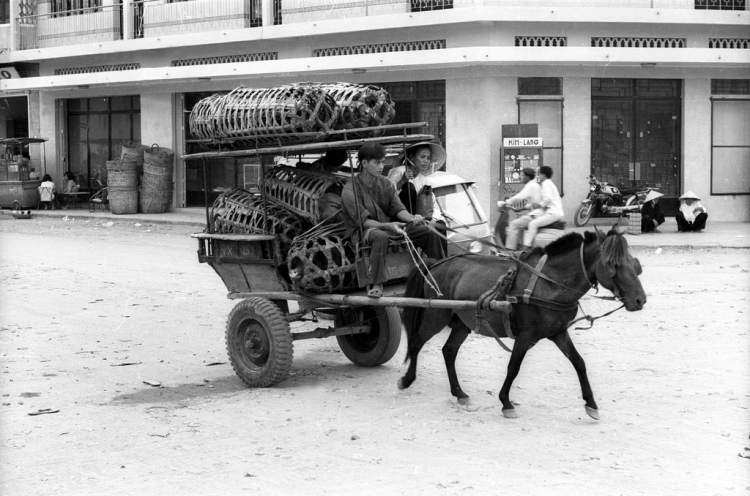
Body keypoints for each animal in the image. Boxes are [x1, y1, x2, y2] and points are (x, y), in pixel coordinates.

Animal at [400, 226, 648, 418]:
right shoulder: (525, 335)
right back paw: (407, 379)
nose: (640, 300)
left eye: (633, 263)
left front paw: (591, 403)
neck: (550, 282)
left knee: (449, 351)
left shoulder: (558, 332)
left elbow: (579, 362)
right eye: (612, 264)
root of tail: (435, 264)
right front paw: (506, 402)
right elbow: (513, 367)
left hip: (462, 321)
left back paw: (459, 393)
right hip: (436, 316)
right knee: (416, 342)